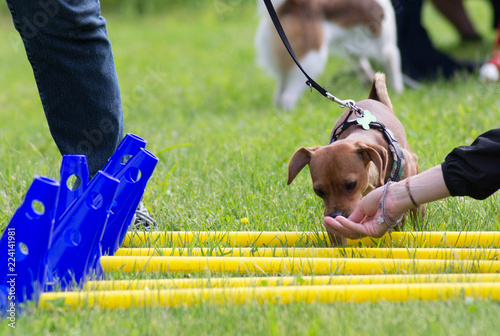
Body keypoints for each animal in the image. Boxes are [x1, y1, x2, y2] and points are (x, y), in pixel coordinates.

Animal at [256, 0, 404, 109]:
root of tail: (291, 5)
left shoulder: (352, 51)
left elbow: (362, 65)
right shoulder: (388, 49)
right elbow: (394, 72)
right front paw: (397, 94)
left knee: (279, 94)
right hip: (313, 61)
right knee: (287, 97)